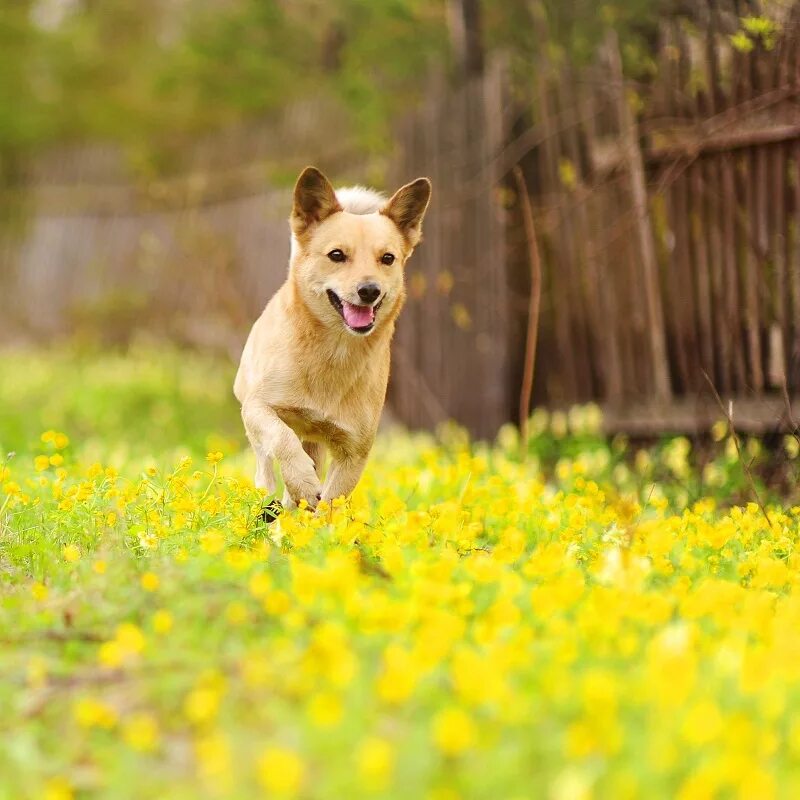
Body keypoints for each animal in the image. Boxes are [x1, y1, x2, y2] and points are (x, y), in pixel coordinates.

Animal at [233, 166, 432, 510]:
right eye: (336, 255)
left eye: (388, 258)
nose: (369, 290)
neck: (335, 351)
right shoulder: (259, 407)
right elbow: (281, 439)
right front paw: (301, 480)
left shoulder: (354, 451)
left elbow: (331, 503)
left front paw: (317, 518)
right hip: (252, 411)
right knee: (266, 463)